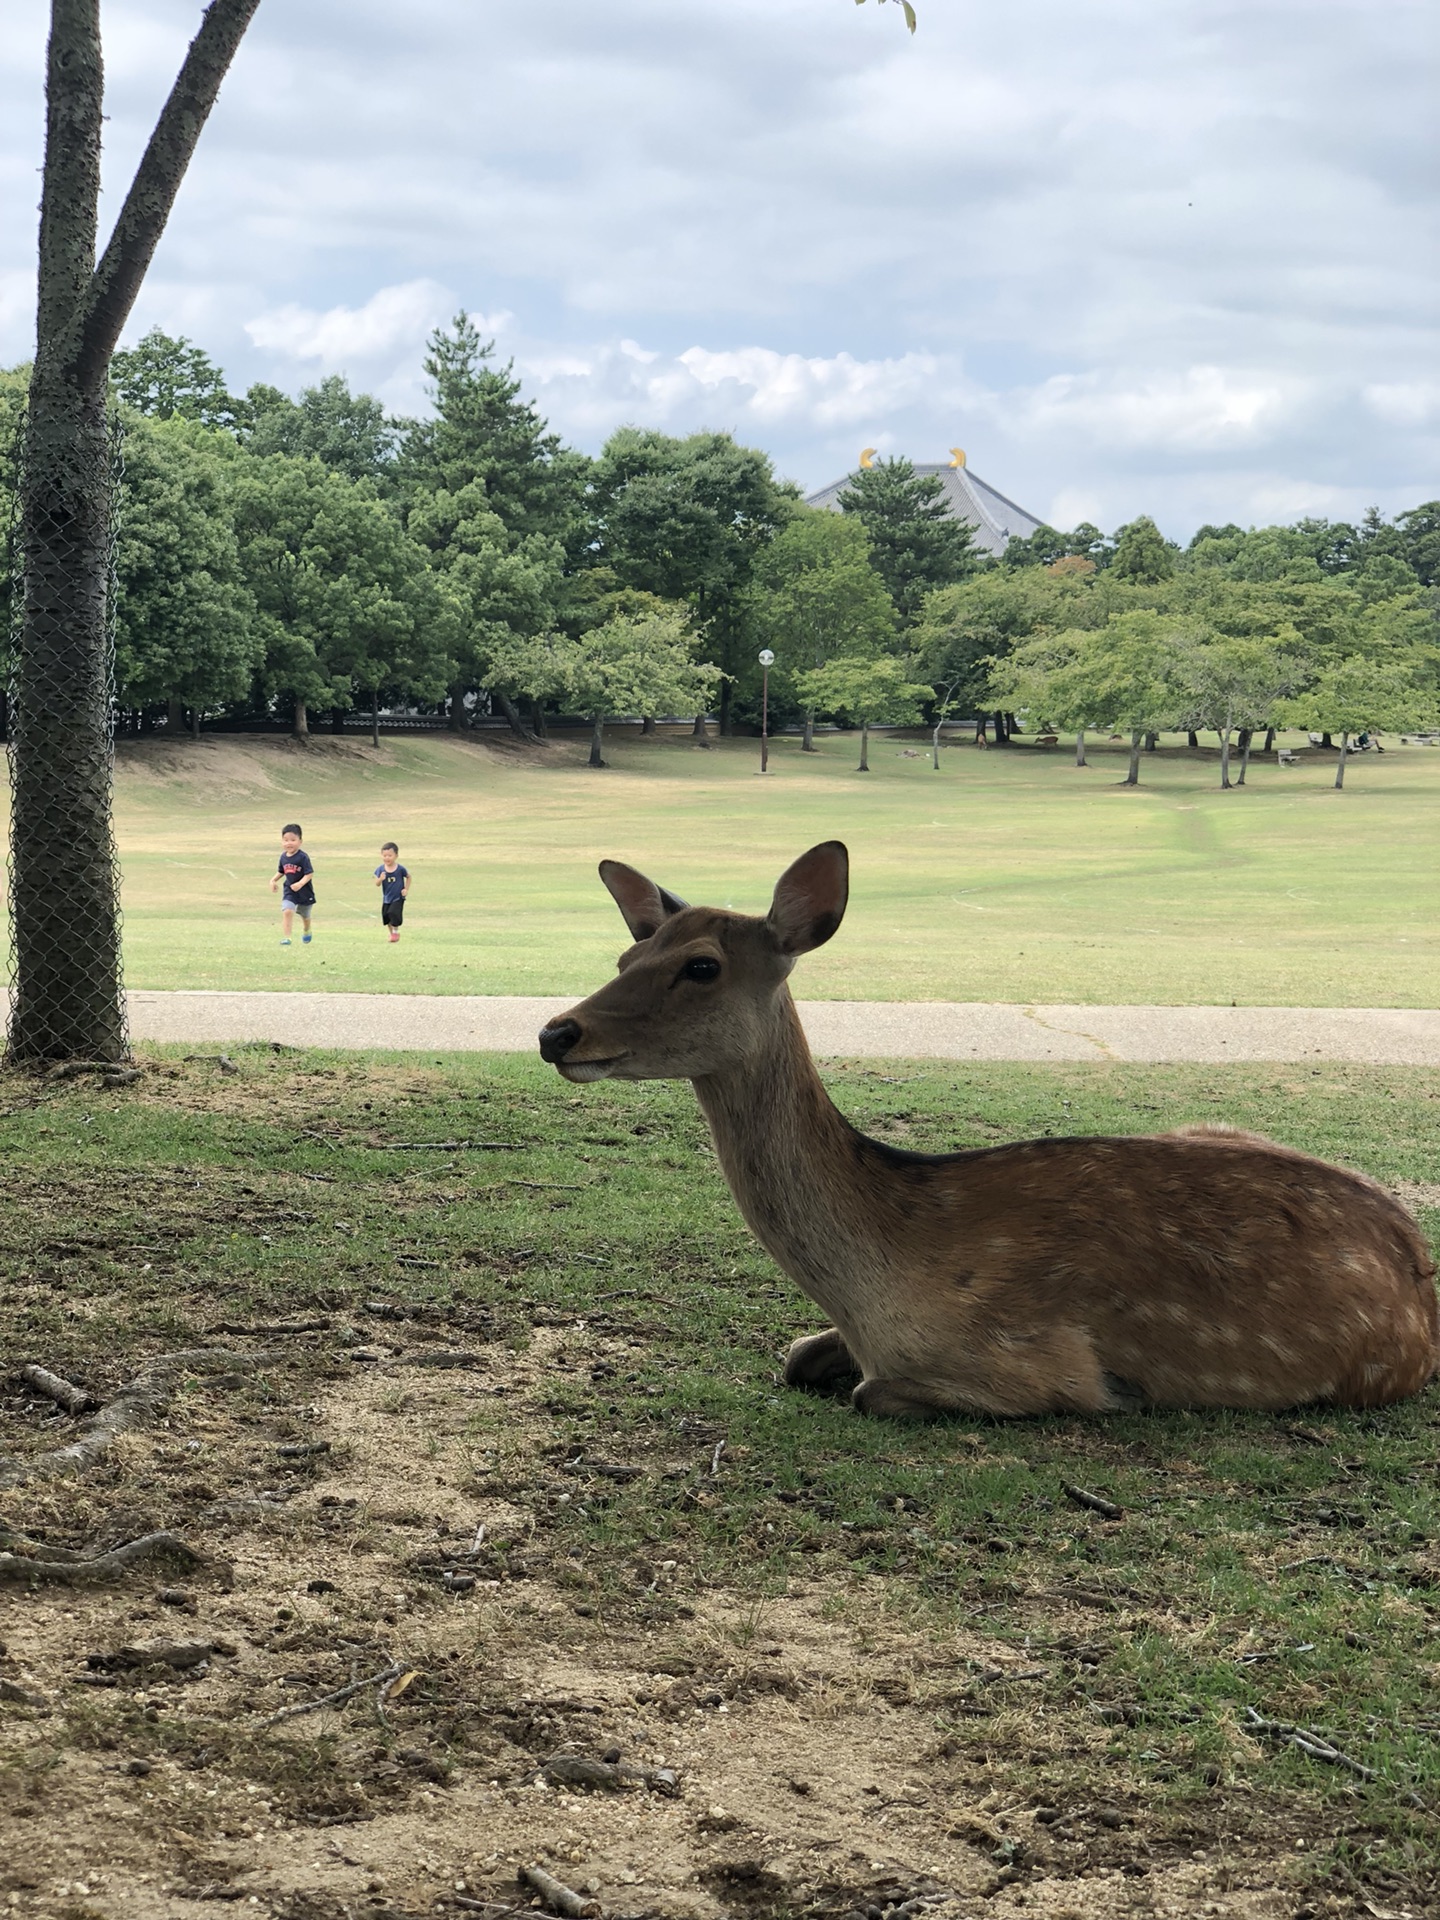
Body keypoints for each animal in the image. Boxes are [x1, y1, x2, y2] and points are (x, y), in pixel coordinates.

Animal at [541, 848, 1440, 1420]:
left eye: (701, 966)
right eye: (625, 956)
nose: (557, 1032)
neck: (878, 1281)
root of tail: (1420, 1271)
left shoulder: (1033, 1364)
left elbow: (873, 1393)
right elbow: (795, 1356)